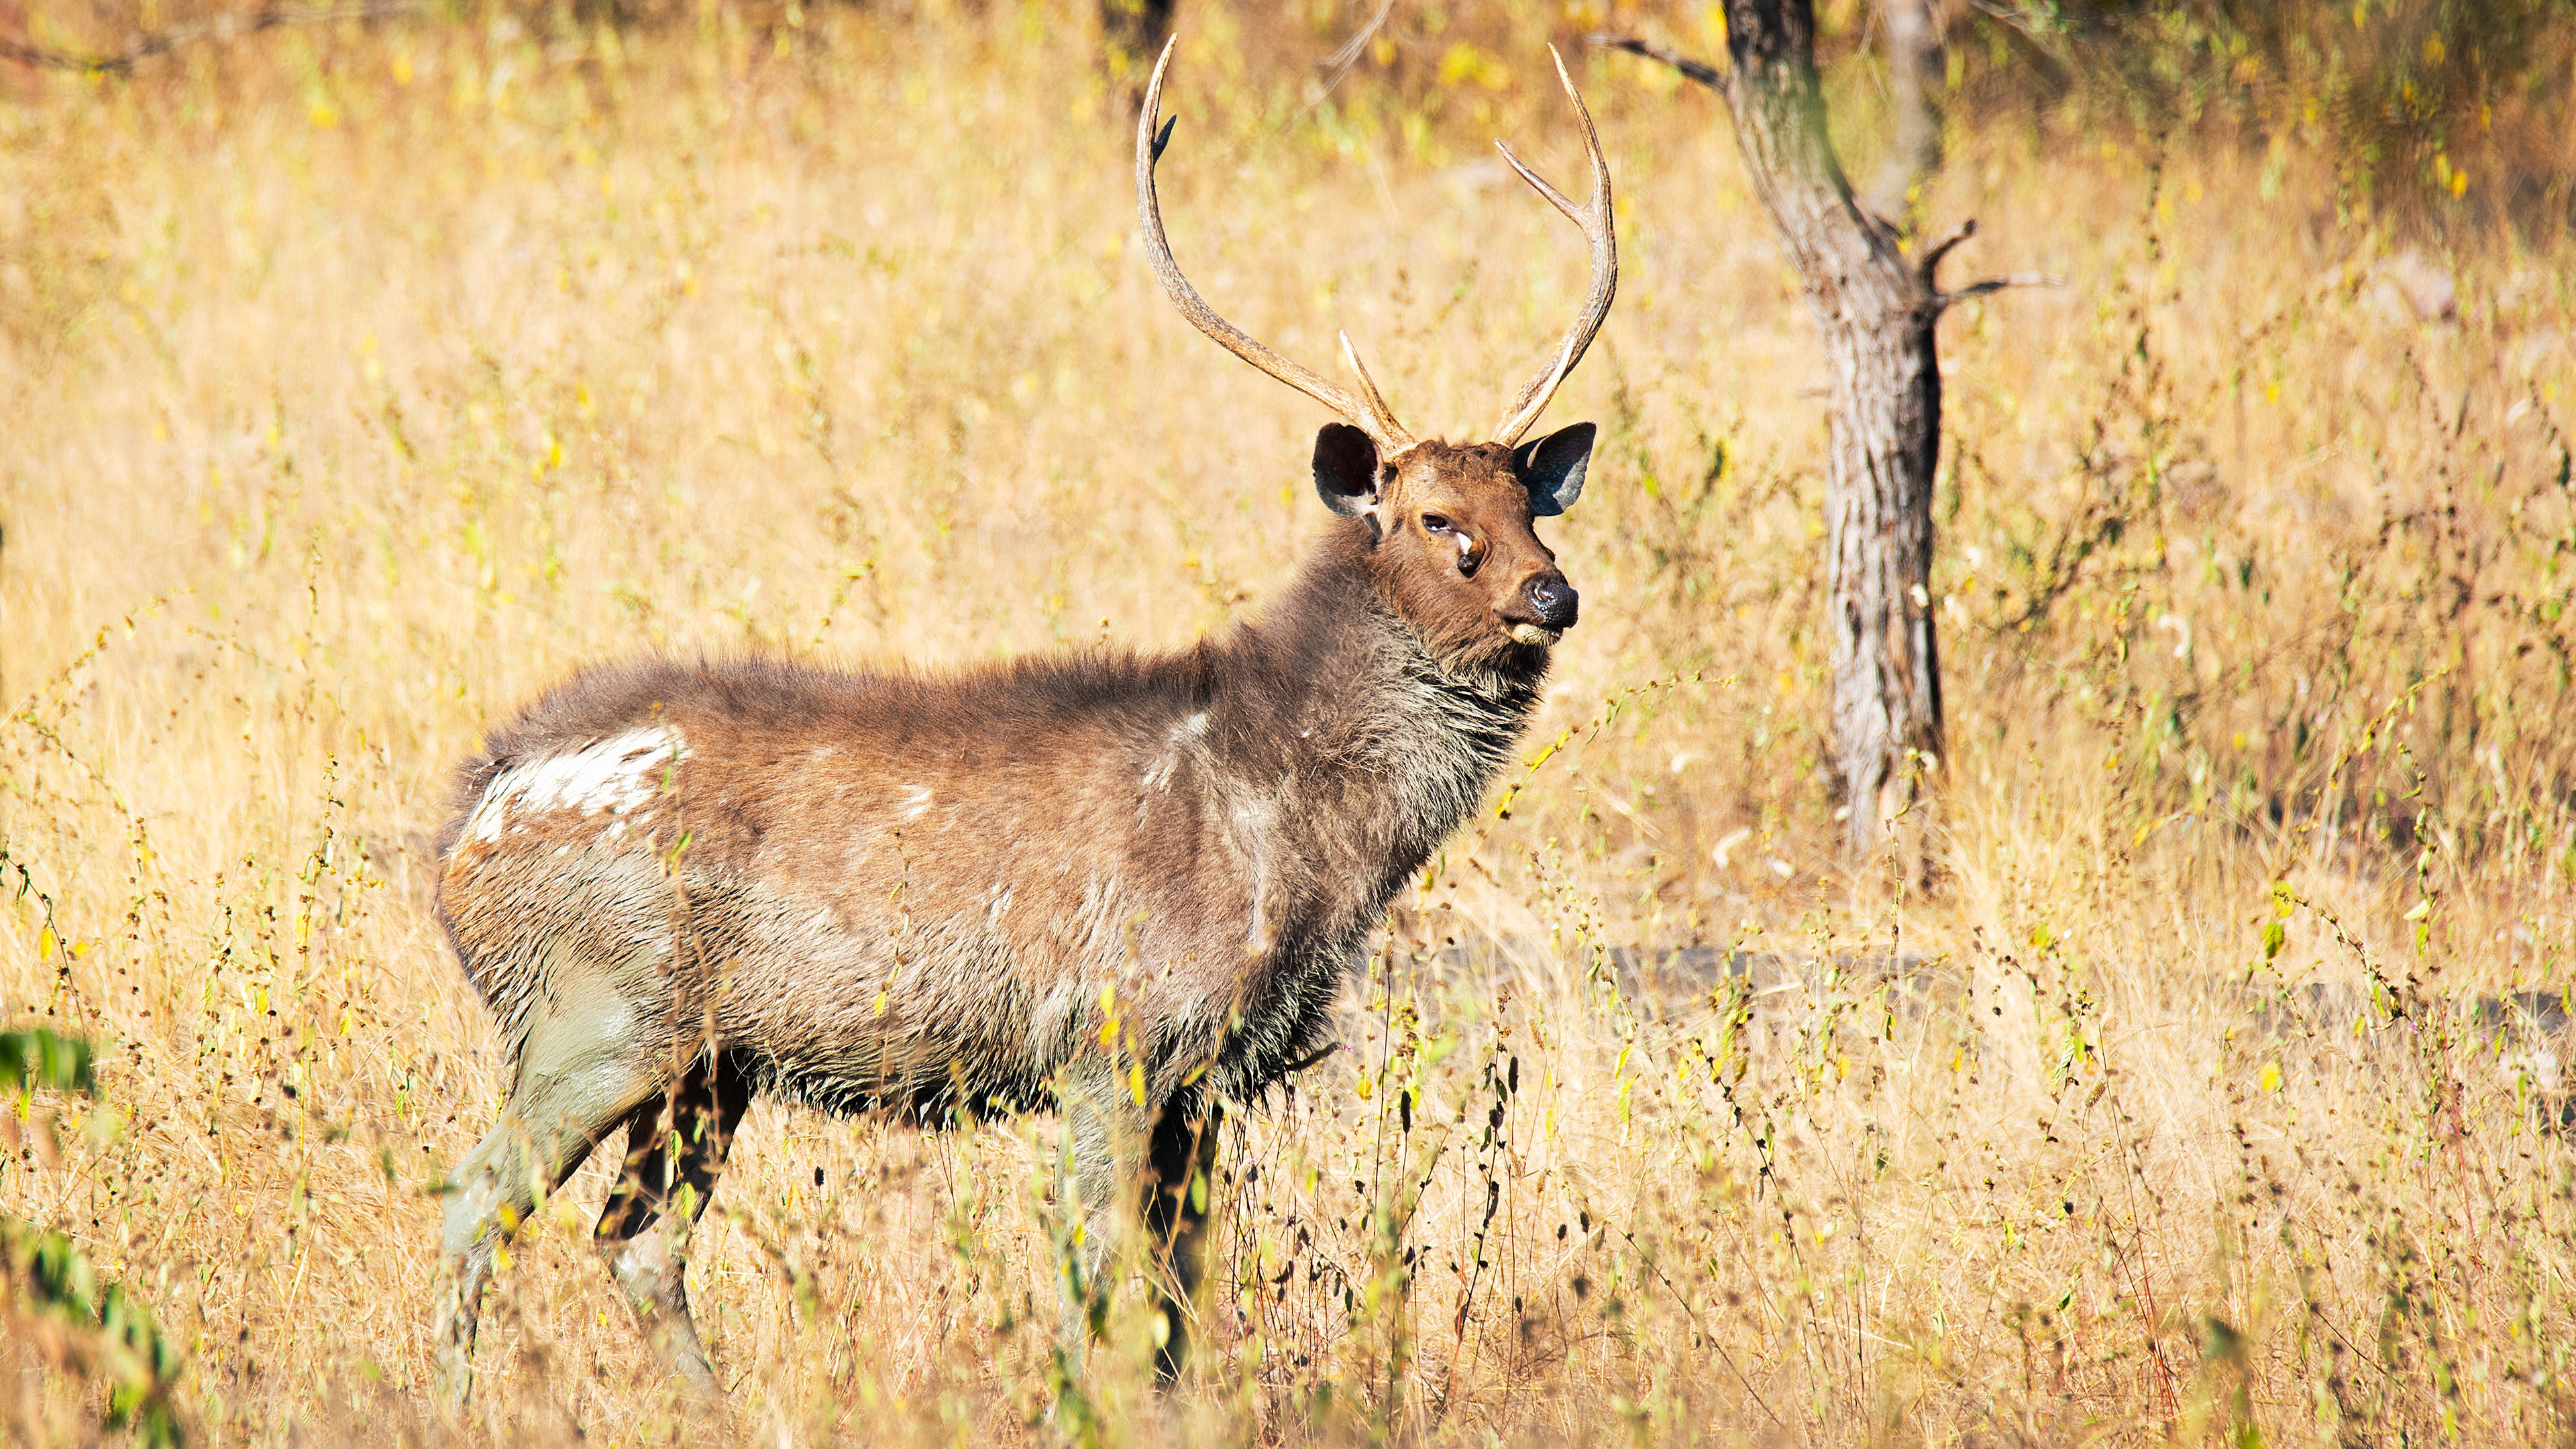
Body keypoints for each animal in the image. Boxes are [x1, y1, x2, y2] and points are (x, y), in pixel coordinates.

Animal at [429, 38, 1615, 1407]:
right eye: (1435, 519)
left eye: (1533, 505)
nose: (1552, 594)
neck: (1296, 838)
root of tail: (464, 824)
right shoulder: (1112, 1041)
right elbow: (1102, 1289)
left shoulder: (1210, 1082)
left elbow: (1178, 1306)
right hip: (597, 1010)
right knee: (475, 1202)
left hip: (709, 1065)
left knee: (634, 1243)